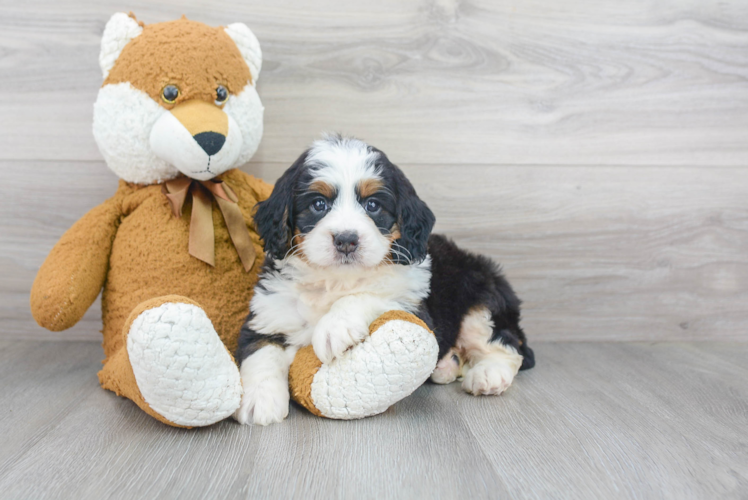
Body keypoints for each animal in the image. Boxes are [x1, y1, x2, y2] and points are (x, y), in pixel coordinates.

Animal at [234, 136, 532, 426]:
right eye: (319, 204)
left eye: (372, 205)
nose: (346, 239)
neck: (336, 280)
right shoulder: (270, 311)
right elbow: (260, 352)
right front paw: (258, 401)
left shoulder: (413, 303)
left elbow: (370, 295)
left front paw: (335, 327)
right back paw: (446, 365)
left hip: (480, 300)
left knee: (504, 344)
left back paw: (488, 375)